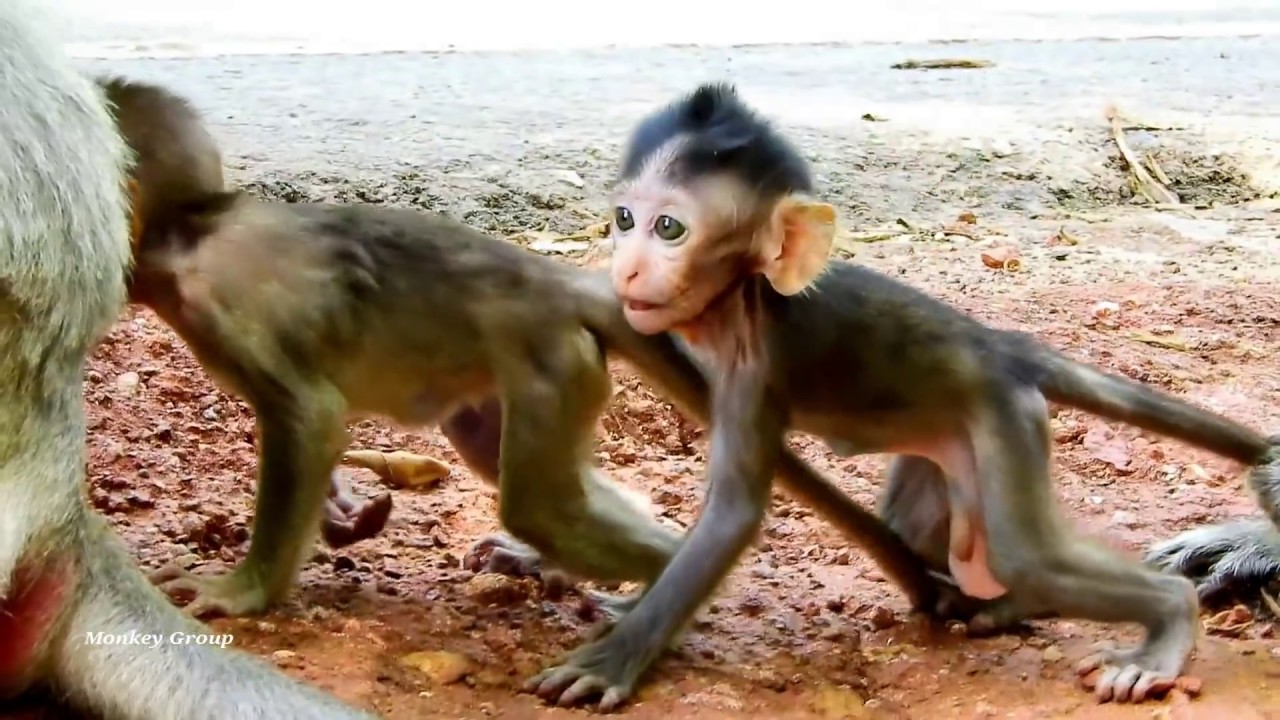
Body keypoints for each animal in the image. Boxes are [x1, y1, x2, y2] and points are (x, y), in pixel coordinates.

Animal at [521, 82, 1280, 712]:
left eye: (669, 228)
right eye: (624, 218)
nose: (627, 267)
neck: (742, 300)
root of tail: (1000, 344)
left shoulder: (757, 368)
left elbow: (731, 517)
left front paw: (616, 656)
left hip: (1004, 417)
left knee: (1027, 557)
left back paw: (1167, 620)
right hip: (951, 444)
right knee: (928, 529)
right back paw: (1005, 606)